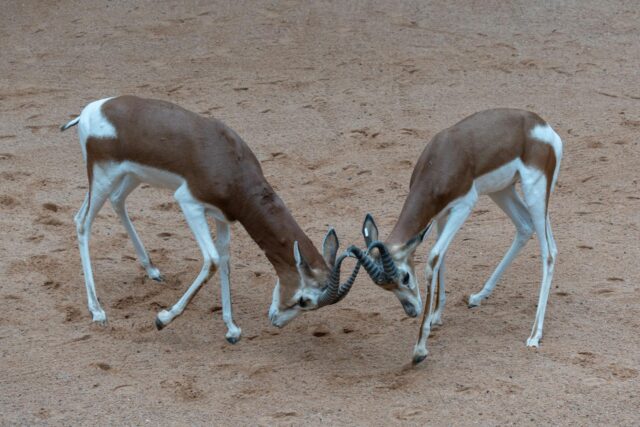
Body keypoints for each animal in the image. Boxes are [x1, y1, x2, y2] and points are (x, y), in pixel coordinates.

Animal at [60, 95, 359, 343]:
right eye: (304, 300)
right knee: (82, 222)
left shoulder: (223, 216)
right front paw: (162, 319)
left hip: (130, 176)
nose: (276, 321)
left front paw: (232, 328)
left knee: (116, 201)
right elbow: (213, 260)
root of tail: (90, 110)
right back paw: (97, 311)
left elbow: (225, 260)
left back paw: (152, 270)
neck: (230, 164)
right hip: (103, 177)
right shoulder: (189, 203)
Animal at [349, 109, 562, 364]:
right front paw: (436, 316)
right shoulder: (441, 214)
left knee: (548, 252)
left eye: (406, 277)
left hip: (534, 191)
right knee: (526, 226)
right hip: (503, 190)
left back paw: (534, 335)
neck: (442, 159)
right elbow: (442, 255)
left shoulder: (463, 206)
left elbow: (433, 257)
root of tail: (543, 126)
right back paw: (478, 297)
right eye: (385, 287)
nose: (412, 311)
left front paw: (420, 349)